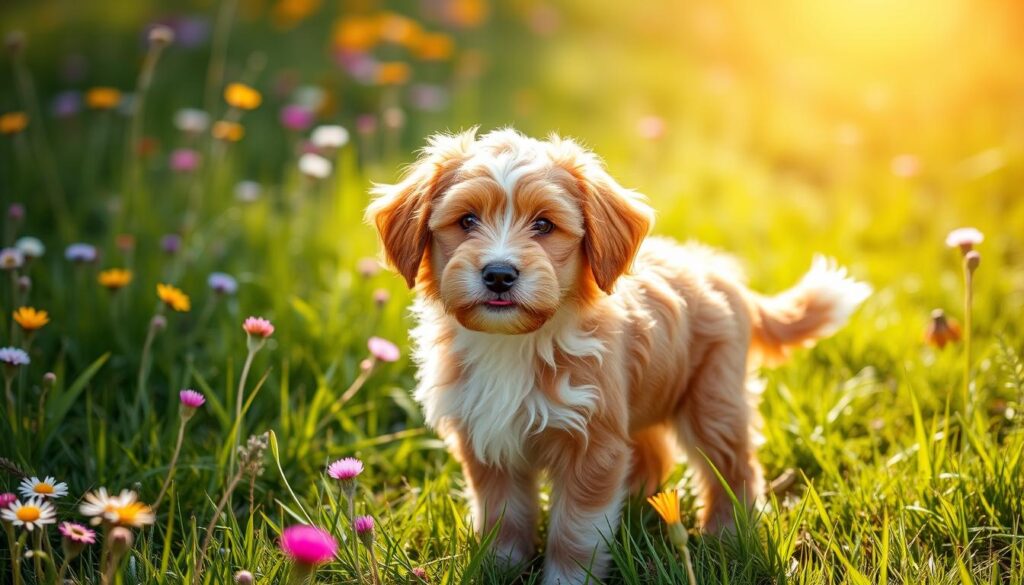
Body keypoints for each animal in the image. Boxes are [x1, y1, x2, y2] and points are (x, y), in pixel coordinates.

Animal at [364, 129, 868, 585]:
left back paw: (728, 538)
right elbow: (503, 519)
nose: (500, 274)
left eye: (543, 225)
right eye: (467, 221)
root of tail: (723, 274)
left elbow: (575, 533)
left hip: (715, 399)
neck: (517, 342)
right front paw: (497, 570)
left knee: (733, 467)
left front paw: (564, 581)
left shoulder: (593, 444)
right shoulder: (489, 439)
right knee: (654, 453)